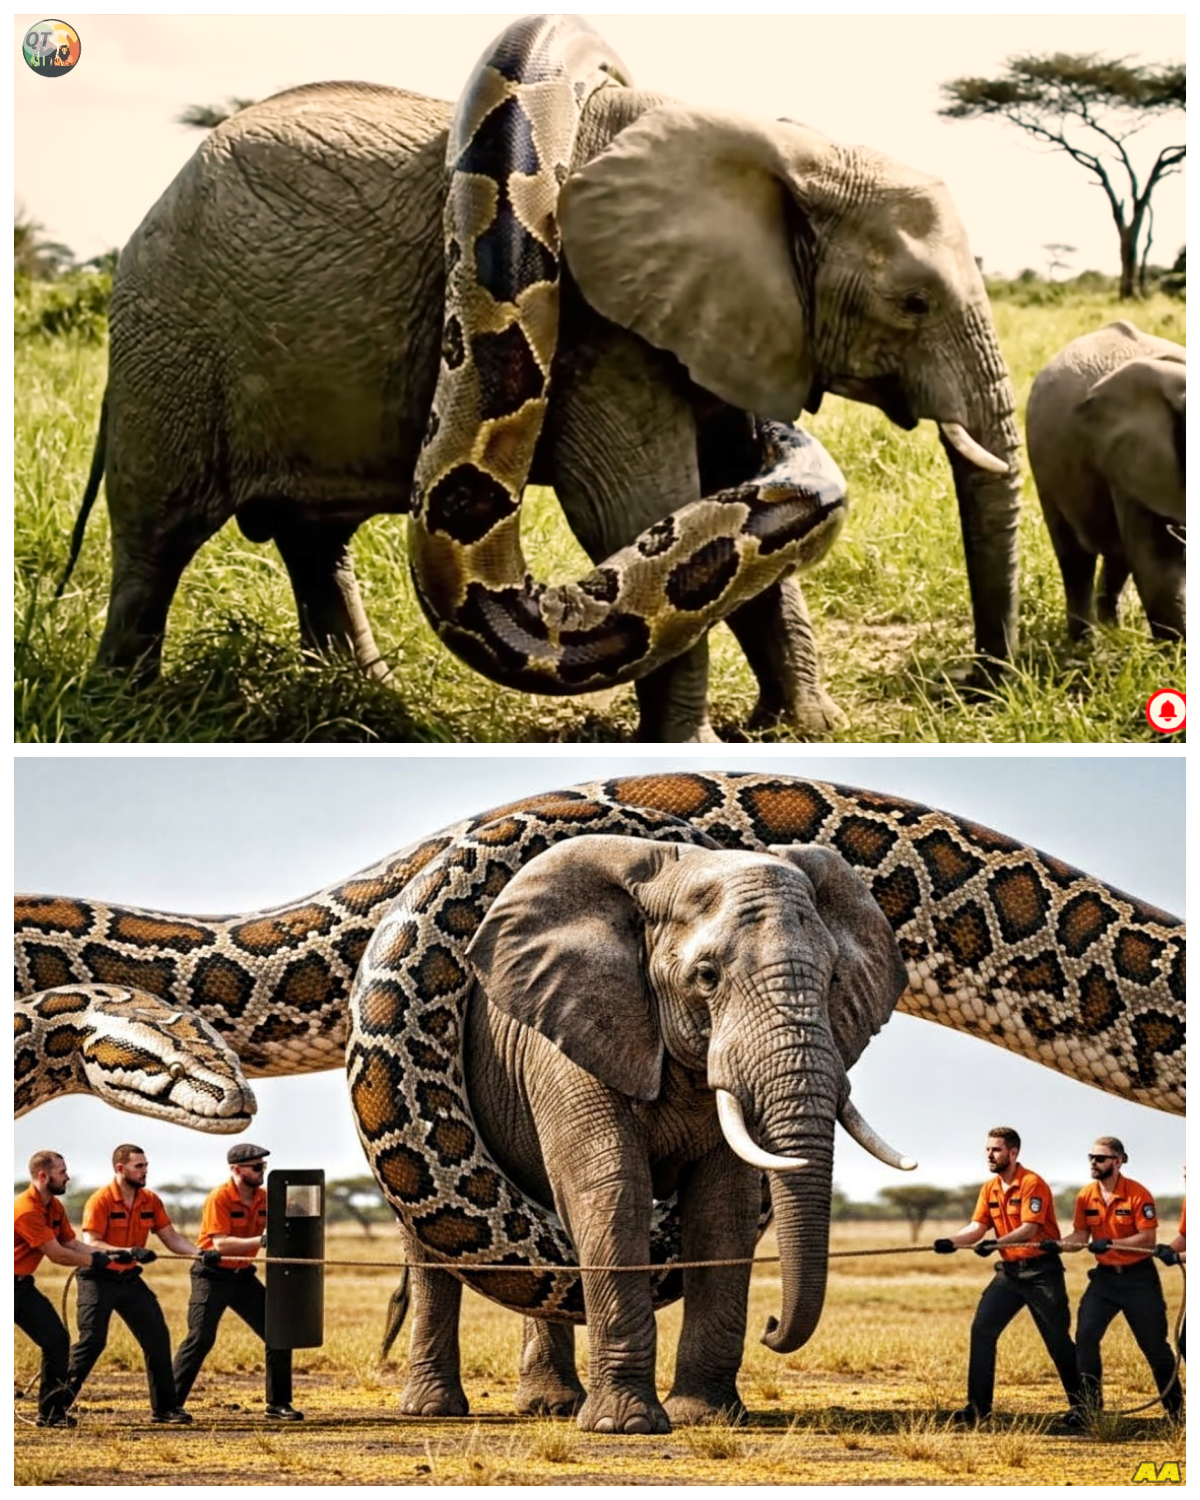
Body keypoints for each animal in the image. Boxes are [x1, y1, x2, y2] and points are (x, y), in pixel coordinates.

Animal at [63, 16, 1020, 742]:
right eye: (913, 303)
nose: (983, 690)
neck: (775, 143)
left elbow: (739, 524)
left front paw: (805, 731)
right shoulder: (600, 328)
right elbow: (635, 506)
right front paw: (696, 747)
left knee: (313, 540)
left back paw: (366, 701)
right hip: (168, 335)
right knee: (155, 531)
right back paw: (121, 707)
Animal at [1026, 321, 1186, 641]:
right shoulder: (1133, 462)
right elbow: (1159, 563)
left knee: (1117, 558)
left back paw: (1114, 633)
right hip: (1044, 466)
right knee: (1074, 557)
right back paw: (1085, 643)